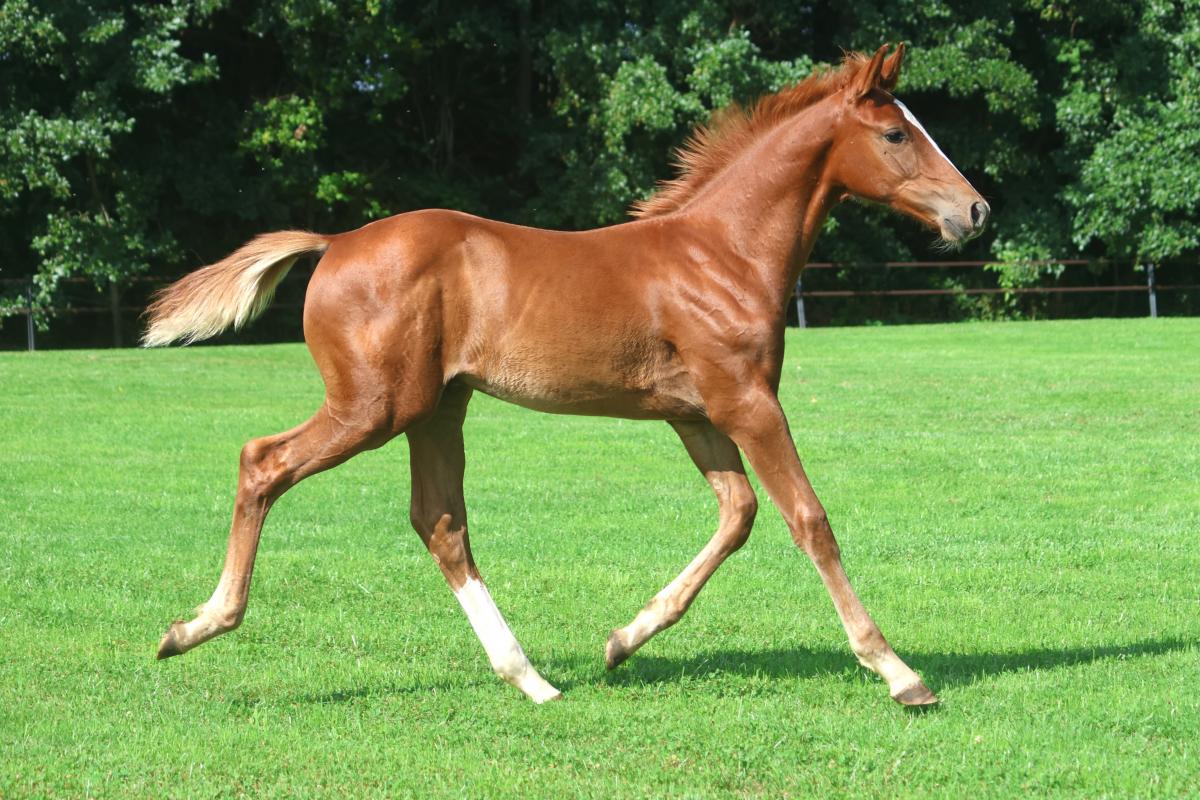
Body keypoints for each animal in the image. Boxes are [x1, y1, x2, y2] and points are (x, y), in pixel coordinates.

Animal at [146, 44, 988, 706]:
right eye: (895, 133)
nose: (976, 211)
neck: (724, 253)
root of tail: (336, 241)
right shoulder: (747, 403)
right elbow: (808, 519)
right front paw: (899, 672)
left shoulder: (696, 413)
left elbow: (738, 514)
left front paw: (623, 639)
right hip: (376, 406)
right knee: (265, 462)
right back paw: (195, 627)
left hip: (437, 408)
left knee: (440, 522)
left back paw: (531, 679)